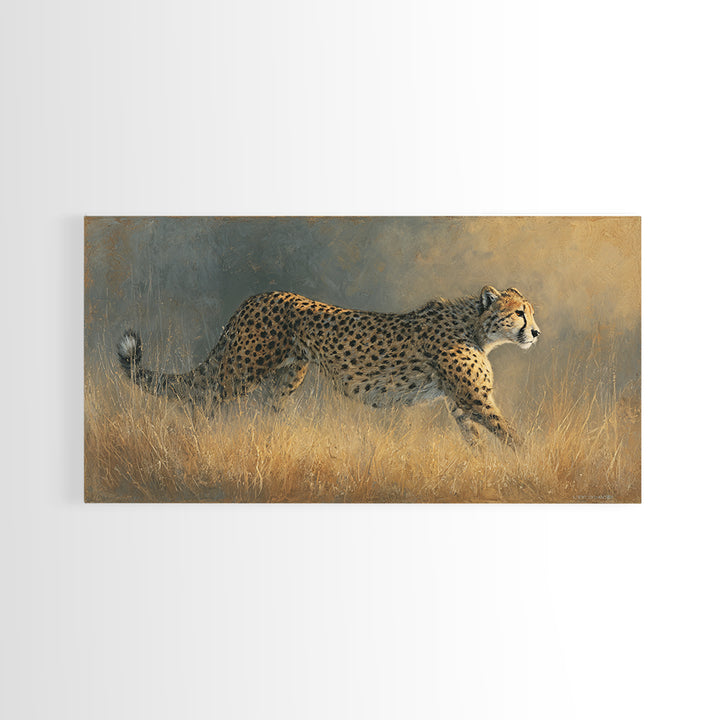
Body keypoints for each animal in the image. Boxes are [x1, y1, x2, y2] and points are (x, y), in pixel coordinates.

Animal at [117, 285, 540, 448]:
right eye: (520, 312)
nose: (536, 333)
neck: (475, 326)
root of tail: (257, 295)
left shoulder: (460, 404)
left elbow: (478, 440)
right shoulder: (475, 399)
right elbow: (511, 435)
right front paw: (528, 464)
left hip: (287, 378)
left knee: (268, 411)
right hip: (241, 372)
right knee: (202, 402)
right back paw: (199, 442)